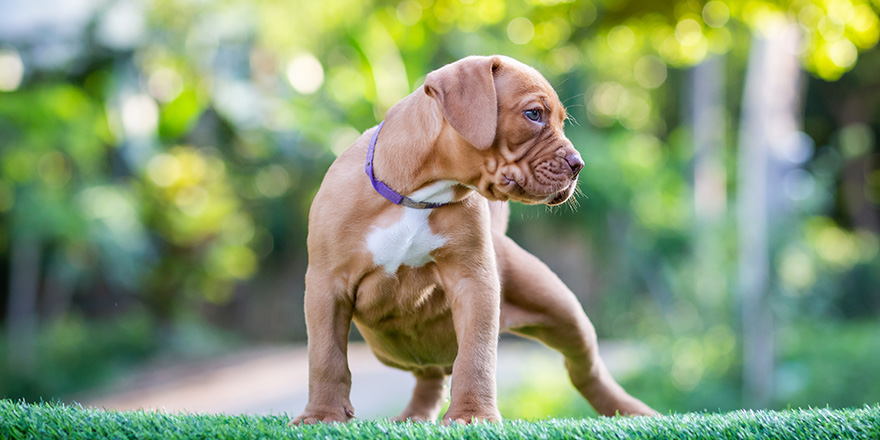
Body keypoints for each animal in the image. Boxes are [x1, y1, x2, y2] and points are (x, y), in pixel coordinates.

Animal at [292, 55, 656, 426]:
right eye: (534, 114)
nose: (578, 164)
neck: (419, 195)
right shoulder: (327, 286)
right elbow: (326, 356)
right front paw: (322, 415)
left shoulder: (474, 281)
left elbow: (475, 355)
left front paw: (472, 415)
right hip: (394, 351)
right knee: (430, 374)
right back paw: (414, 416)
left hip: (564, 312)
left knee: (585, 368)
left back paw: (632, 412)